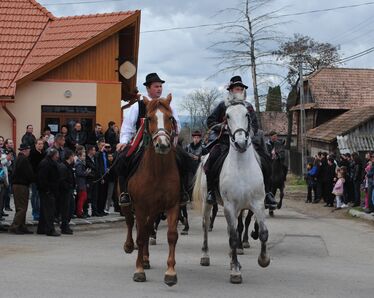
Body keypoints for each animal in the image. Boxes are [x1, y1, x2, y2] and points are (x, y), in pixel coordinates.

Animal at [122, 95, 180, 286]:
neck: (157, 172)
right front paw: (139, 270)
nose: (162, 145)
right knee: (130, 222)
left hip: (154, 209)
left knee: (147, 229)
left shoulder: (173, 205)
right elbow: (140, 236)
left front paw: (170, 273)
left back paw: (146, 259)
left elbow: (171, 235)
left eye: (170, 118)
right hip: (128, 203)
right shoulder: (140, 206)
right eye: (148, 118)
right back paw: (129, 246)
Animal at [194, 98, 270, 284]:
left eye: (247, 114)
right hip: (208, 203)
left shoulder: (257, 204)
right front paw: (235, 271)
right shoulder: (230, 206)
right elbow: (234, 237)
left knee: (231, 230)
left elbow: (263, 232)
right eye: (227, 116)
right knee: (206, 225)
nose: (241, 142)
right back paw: (205, 256)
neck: (242, 167)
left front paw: (263, 260)